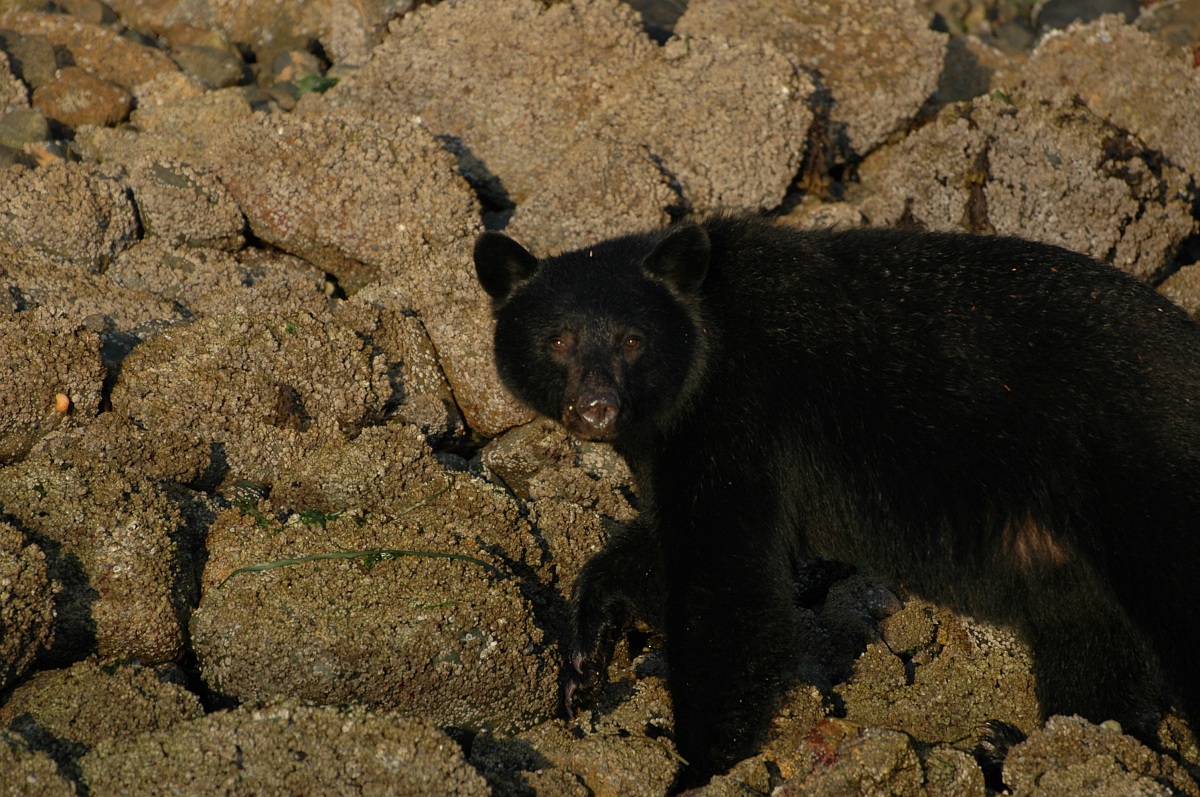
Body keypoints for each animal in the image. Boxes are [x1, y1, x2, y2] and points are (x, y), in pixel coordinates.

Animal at [473, 215, 1200, 787]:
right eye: (558, 338)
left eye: (632, 339)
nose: (596, 408)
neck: (709, 339)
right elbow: (672, 547)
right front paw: (583, 659)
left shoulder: (743, 413)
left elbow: (729, 584)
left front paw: (696, 765)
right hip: (1071, 549)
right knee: (1089, 642)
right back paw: (1039, 746)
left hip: (1141, 473)